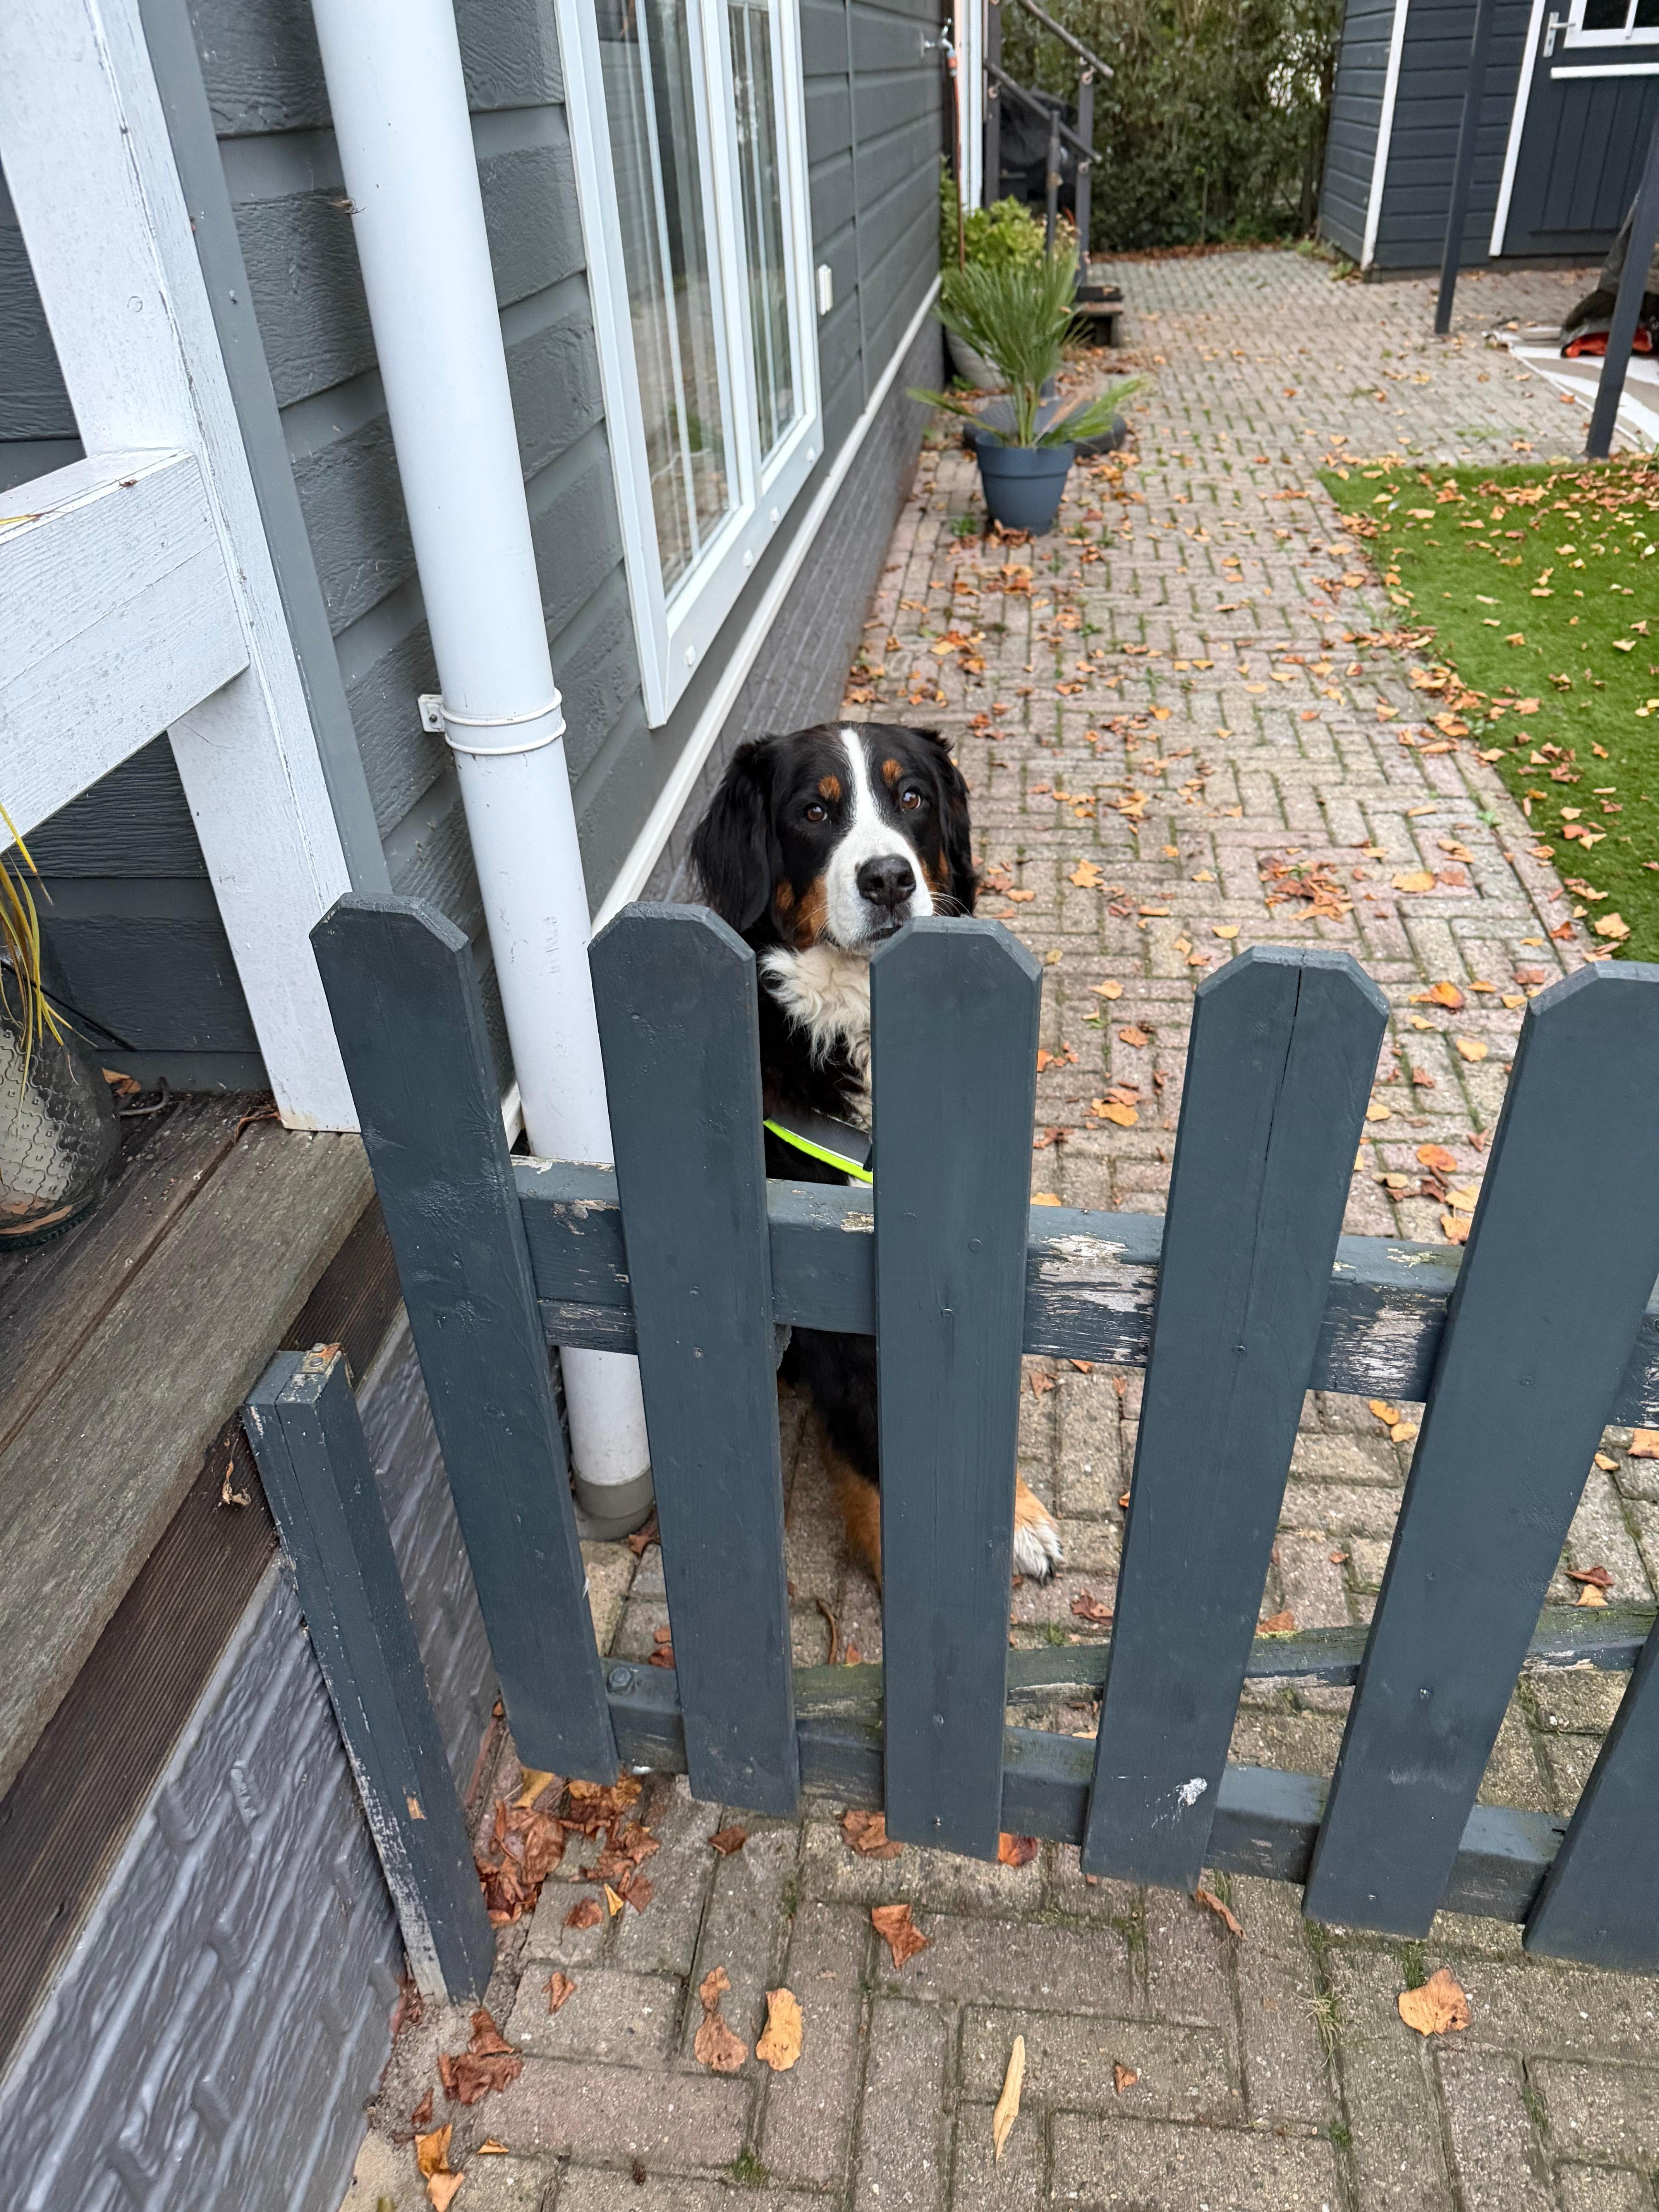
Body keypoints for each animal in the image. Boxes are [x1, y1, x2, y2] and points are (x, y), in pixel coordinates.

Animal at [689, 720, 1064, 1587]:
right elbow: (865, 1421)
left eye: (913, 798)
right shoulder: (819, 1270)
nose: (889, 878)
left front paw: (1015, 1513)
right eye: (814, 811)